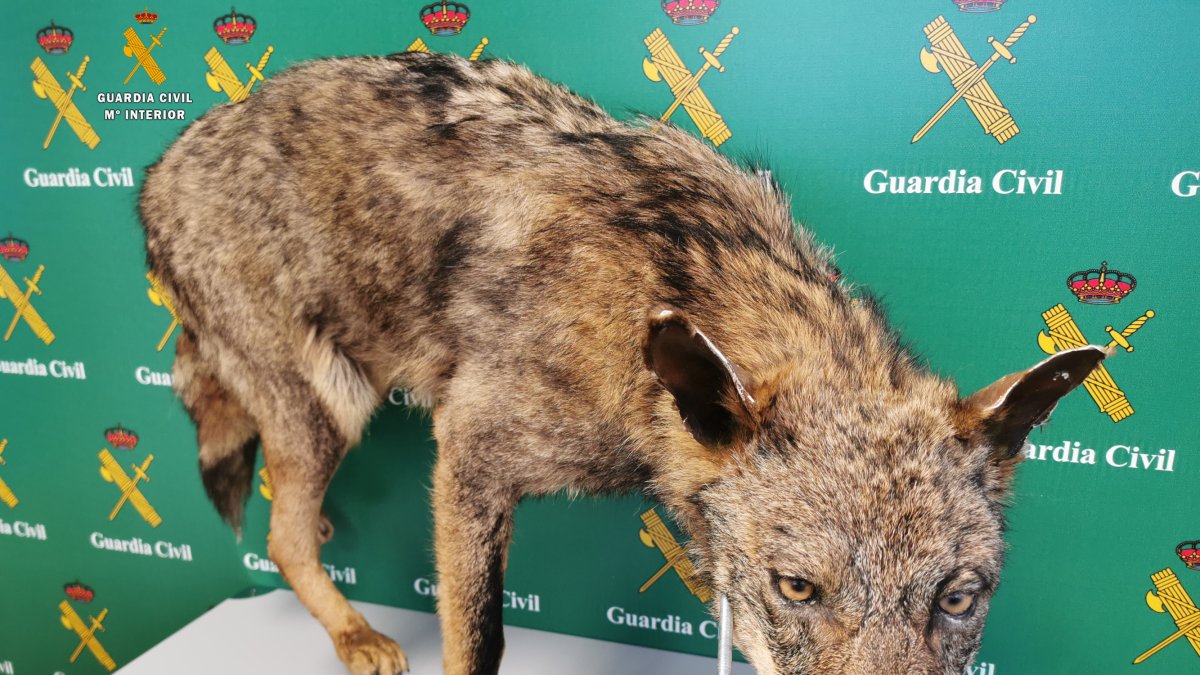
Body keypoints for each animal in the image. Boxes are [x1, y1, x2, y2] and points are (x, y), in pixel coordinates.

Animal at [139, 52, 1106, 675]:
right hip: (328, 408)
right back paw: (355, 636)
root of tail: (161, 166)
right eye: (798, 587)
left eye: (958, 598)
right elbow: (478, 639)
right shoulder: (469, 455)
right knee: (279, 534)